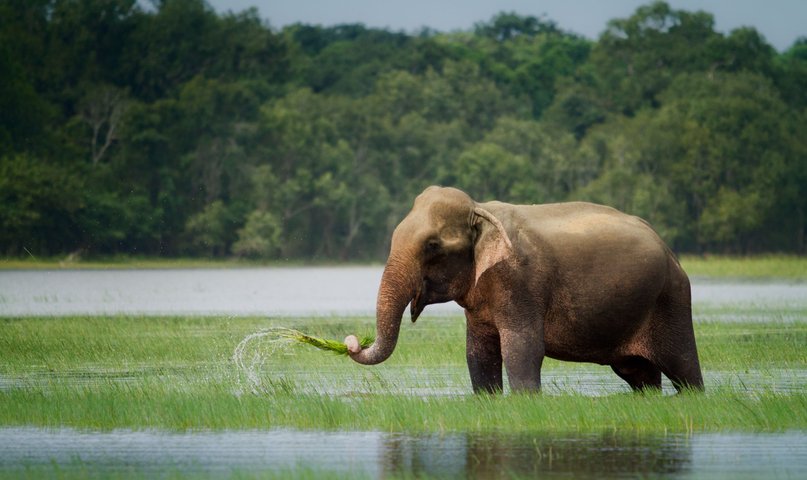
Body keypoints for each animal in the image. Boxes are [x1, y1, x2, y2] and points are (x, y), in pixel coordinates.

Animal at [344, 186, 704, 394]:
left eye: (432, 246)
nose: (351, 342)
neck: (480, 208)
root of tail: (669, 249)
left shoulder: (520, 282)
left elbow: (523, 349)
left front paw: (526, 400)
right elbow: (478, 353)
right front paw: (488, 399)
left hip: (671, 298)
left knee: (684, 368)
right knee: (639, 374)